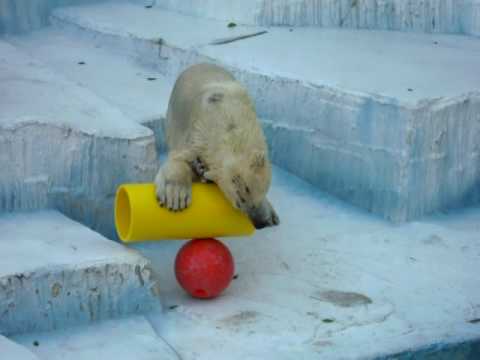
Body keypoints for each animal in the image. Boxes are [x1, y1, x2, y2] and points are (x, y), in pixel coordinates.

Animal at [156, 63, 280, 229]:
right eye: (242, 194)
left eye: (262, 192)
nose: (258, 222)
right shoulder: (196, 132)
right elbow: (179, 158)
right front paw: (176, 196)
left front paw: (270, 214)